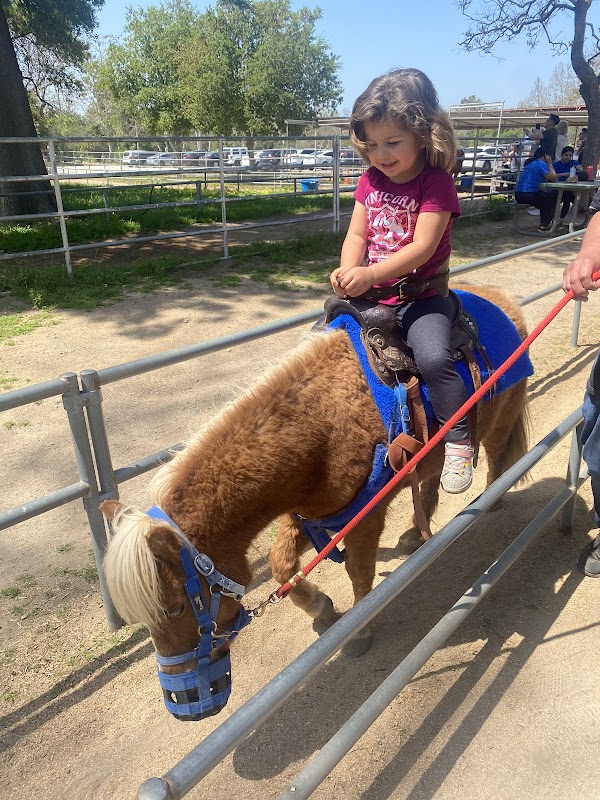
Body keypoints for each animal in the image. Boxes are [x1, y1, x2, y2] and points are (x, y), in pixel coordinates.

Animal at [101, 284, 531, 721]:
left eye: (174, 609)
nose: (184, 705)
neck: (320, 425)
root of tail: (499, 298)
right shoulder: (309, 514)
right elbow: (280, 565)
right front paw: (322, 609)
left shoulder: (363, 518)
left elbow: (359, 573)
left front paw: (358, 630)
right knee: (428, 484)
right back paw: (415, 534)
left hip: (498, 422)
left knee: (496, 458)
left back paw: (493, 497)